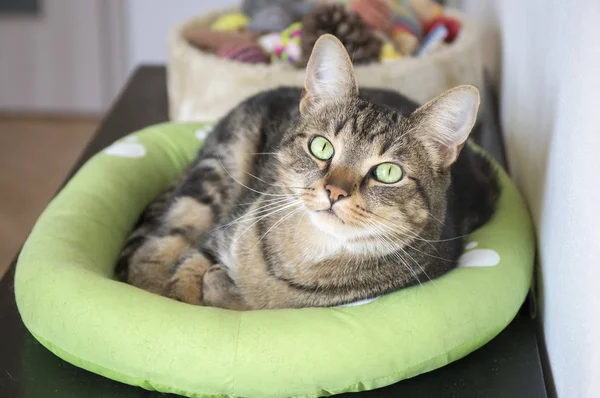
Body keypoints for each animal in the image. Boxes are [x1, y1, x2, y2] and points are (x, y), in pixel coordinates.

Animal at [115, 34, 500, 310]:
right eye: (322, 147)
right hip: (214, 174)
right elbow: (188, 272)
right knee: (157, 245)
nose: (335, 192)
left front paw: (224, 290)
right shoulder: (220, 232)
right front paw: (184, 294)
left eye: (389, 172)